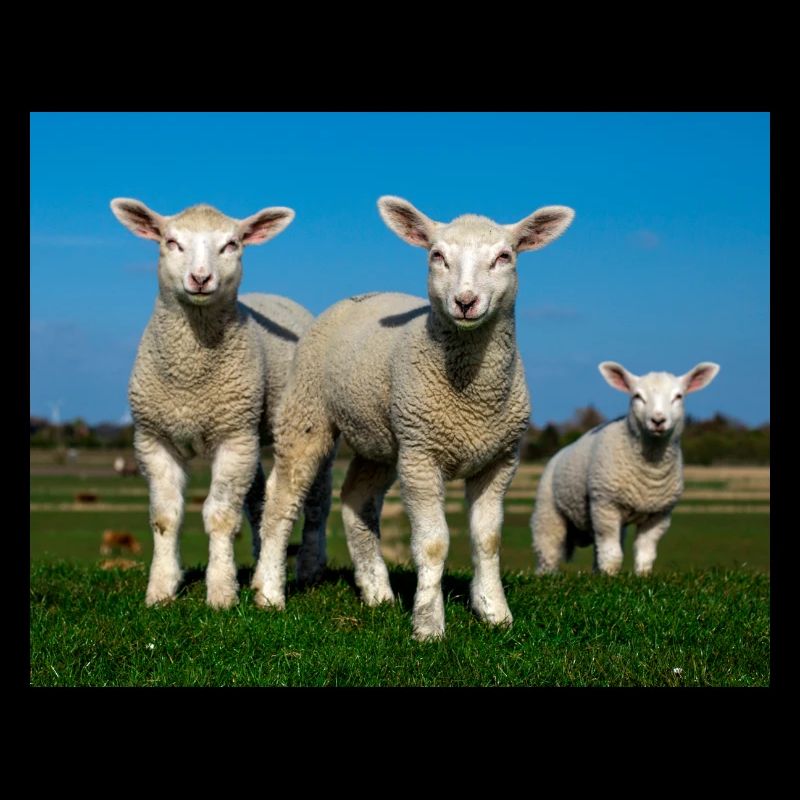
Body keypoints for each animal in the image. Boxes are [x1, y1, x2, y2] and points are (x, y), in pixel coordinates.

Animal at [110, 198, 333, 609]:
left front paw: (221, 593)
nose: (200, 278)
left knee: (317, 502)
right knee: (259, 500)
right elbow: (165, 517)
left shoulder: (233, 438)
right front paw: (161, 589)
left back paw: (310, 566)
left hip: (303, 423)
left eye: (232, 244)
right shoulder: (153, 439)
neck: (190, 377)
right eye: (171, 242)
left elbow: (221, 516)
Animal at [252, 195, 575, 640]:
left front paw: (495, 612)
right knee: (282, 498)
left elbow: (488, 540)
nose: (466, 302)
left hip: (381, 439)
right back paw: (268, 593)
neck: (471, 395)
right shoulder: (421, 456)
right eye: (437, 256)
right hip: (308, 411)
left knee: (356, 499)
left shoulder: (500, 459)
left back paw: (376, 591)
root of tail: (362, 294)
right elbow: (433, 543)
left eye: (504, 257)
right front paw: (428, 625)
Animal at [531, 360, 720, 576]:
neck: (651, 468)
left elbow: (645, 552)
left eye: (678, 396)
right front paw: (610, 577)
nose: (658, 420)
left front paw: (642, 576)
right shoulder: (606, 506)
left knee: (597, 548)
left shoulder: (659, 515)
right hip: (548, 512)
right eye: (637, 396)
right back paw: (547, 576)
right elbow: (612, 553)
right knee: (548, 550)